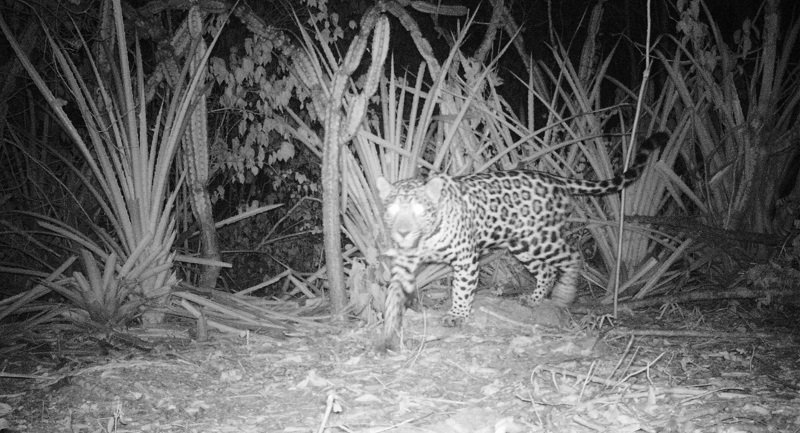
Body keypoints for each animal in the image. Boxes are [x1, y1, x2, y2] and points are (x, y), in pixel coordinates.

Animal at [375, 133, 668, 350]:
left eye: (420, 211)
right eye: (391, 211)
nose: (403, 232)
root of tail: (555, 178)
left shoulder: (466, 258)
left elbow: (462, 289)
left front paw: (457, 315)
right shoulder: (403, 261)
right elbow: (393, 291)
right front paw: (388, 327)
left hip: (542, 239)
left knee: (572, 255)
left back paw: (563, 295)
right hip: (523, 244)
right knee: (546, 270)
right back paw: (534, 299)